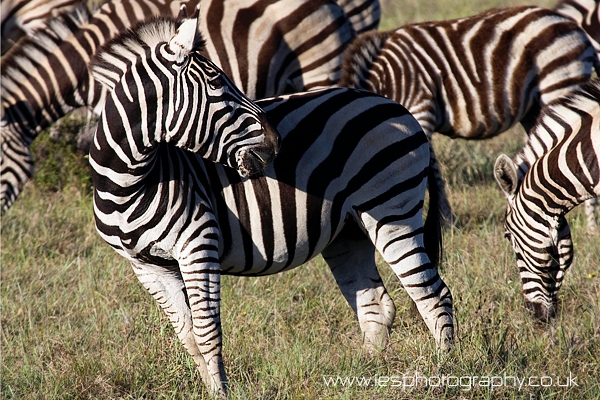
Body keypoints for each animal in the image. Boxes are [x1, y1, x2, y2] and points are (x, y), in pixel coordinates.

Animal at [89, 10, 454, 396]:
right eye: (219, 86)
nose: (277, 142)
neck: (126, 184)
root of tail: (396, 106)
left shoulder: (198, 246)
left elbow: (206, 332)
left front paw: (222, 394)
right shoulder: (148, 267)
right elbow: (188, 336)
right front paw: (210, 391)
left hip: (391, 210)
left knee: (433, 295)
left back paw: (443, 373)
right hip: (349, 232)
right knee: (376, 305)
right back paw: (364, 376)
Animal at [338, 4, 600, 225]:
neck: (389, 82)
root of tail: (572, 26)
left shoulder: (420, 109)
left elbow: (430, 172)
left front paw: (443, 221)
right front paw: (446, 219)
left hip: (560, 81)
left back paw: (590, 225)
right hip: (534, 106)